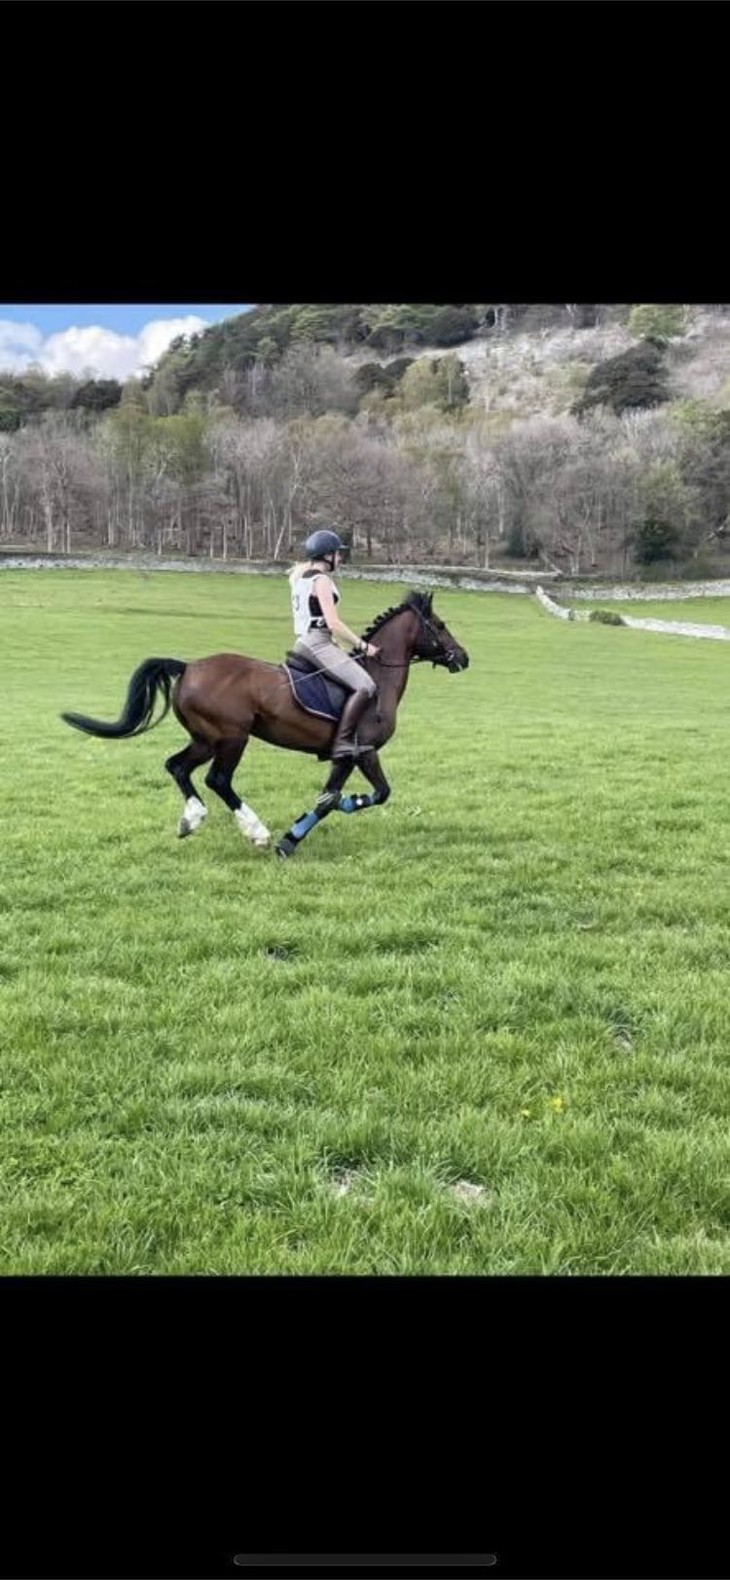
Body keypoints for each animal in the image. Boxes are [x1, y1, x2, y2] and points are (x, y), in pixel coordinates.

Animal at [60, 594, 470, 865]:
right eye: (441, 625)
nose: (463, 658)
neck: (378, 677)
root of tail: (189, 666)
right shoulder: (359, 751)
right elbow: (361, 796)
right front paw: (294, 837)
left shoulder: (350, 756)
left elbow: (337, 797)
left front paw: (298, 832)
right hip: (231, 737)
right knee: (218, 780)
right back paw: (255, 832)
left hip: (205, 739)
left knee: (177, 766)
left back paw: (191, 819)